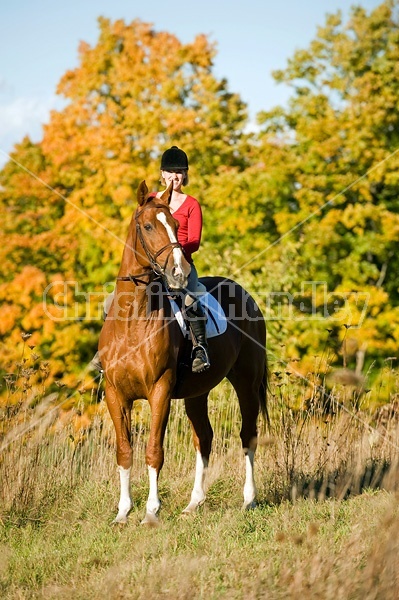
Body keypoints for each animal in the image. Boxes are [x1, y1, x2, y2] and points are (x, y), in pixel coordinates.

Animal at [99, 179, 270, 524]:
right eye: (148, 226)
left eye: (177, 225)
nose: (178, 272)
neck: (133, 320)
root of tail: (245, 293)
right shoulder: (115, 394)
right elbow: (124, 450)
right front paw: (123, 512)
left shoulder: (159, 390)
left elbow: (154, 450)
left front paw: (151, 512)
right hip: (197, 392)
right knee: (204, 438)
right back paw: (194, 503)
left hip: (246, 382)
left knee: (248, 435)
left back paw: (249, 500)